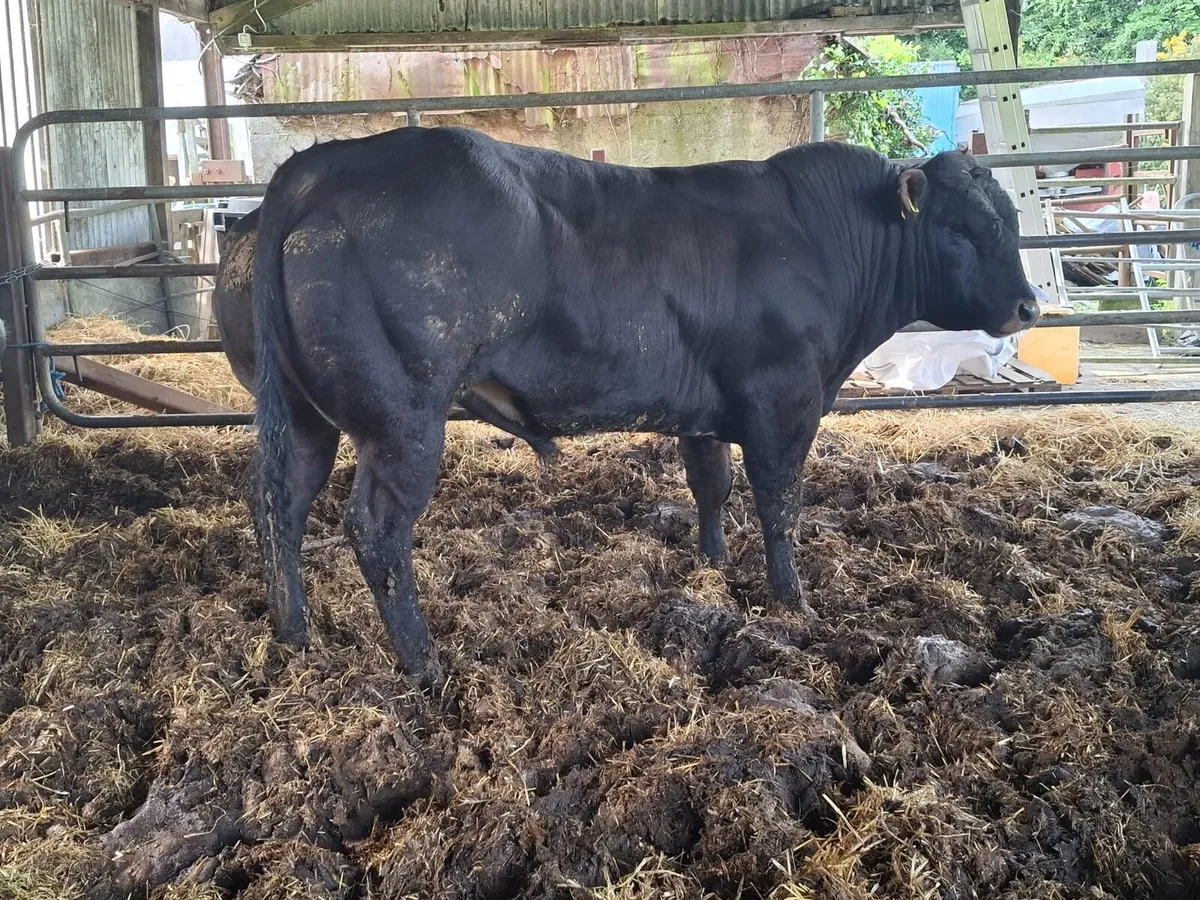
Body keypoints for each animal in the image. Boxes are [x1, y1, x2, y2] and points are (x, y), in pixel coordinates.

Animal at [249, 128, 1040, 687]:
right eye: (963, 228)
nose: (1028, 307)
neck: (819, 240)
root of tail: (315, 170)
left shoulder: (707, 407)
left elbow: (711, 484)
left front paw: (712, 565)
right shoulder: (784, 401)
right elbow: (779, 505)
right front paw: (793, 603)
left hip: (304, 416)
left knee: (278, 503)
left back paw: (294, 632)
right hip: (402, 421)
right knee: (376, 529)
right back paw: (423, 662)